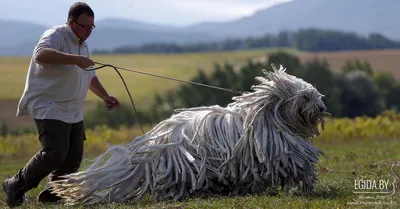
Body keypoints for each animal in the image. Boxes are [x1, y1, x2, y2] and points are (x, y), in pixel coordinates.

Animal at [50, 64, 330, 206]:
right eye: (305, 97)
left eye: (315, 94)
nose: (321, 107)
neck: (269, 115)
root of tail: (153, 142)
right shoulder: (283, 151)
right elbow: (301, 164)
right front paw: (308, 184)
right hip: (184, 165)